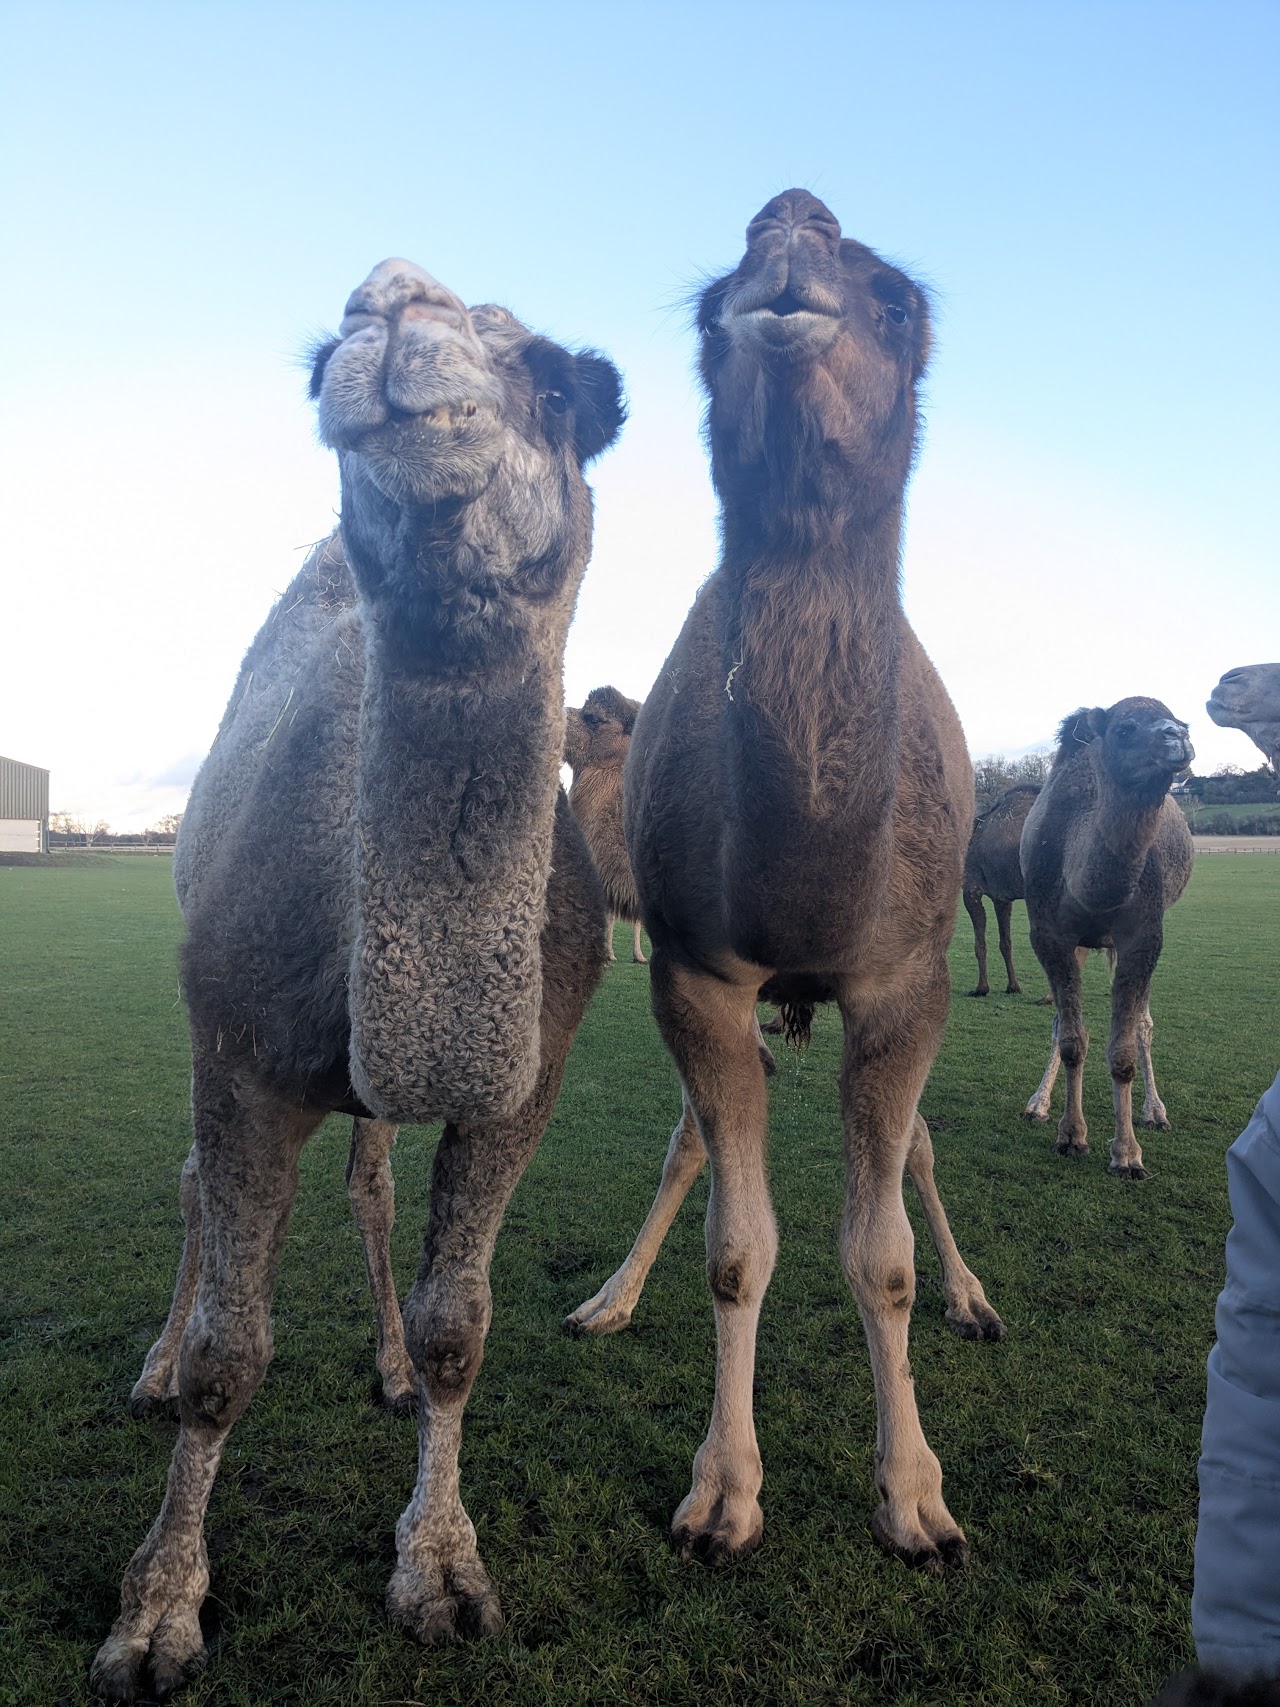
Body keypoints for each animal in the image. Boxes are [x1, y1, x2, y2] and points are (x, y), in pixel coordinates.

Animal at [92, 260, 625, 1699]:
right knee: (190, 1188)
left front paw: (440, 1568)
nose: (394, 309)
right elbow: (229, 1353)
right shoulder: (242, 1054)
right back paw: (148, 1367)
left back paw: (381, 1366)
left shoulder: (525, 1080)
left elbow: (459, 1324)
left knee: (372, 1184)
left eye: (567, 383)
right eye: (325, 344)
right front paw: (157, 1612)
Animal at [962, 784, 1040, 996]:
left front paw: (981, 988)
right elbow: (1006, 943)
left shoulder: (970, 889)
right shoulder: (1001, 896)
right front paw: (1013, 986)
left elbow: (979, 943)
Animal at [1020, 698, 1194, 1178]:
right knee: (1062, 1023)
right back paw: (1037, 1104)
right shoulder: (1050, 934)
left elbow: (1125, 1050)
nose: (1178, 736)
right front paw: (1070, 1136)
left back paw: (1156, 1112)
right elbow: (1071, 1039)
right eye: (1124, 729)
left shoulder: (1144, 935)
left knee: (1144, 1026)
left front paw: (1128, 1154)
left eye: (1183, 721)